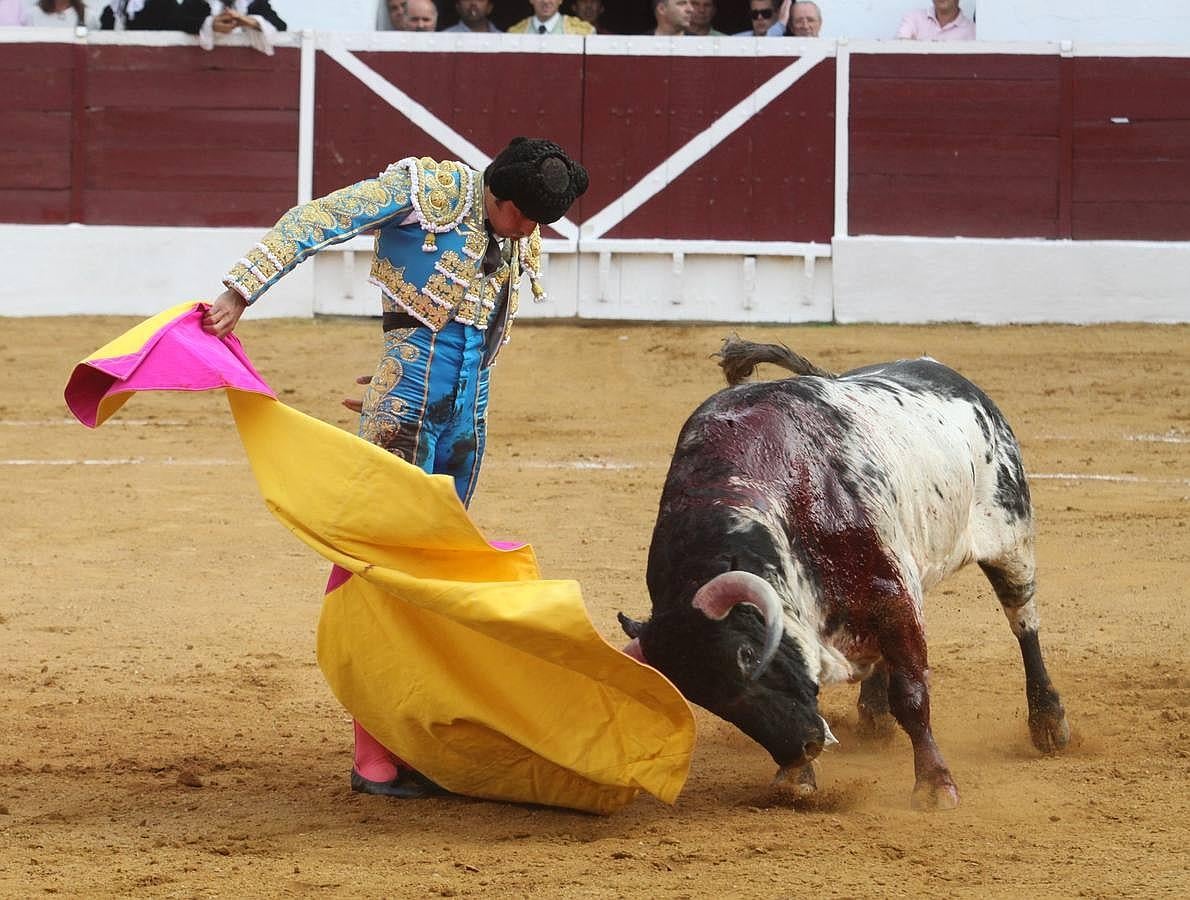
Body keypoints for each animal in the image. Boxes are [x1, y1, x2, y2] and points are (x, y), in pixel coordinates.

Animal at [623, 338, 1071, 809]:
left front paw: (935, 785)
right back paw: (873, 716)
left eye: (748, 656)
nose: (803, 746)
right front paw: (796, 777)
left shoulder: (892, 592)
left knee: (1023, 622)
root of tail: (959, 381)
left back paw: (1048, 722)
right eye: (703, 697)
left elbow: (912, 696)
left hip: (1010, 535)